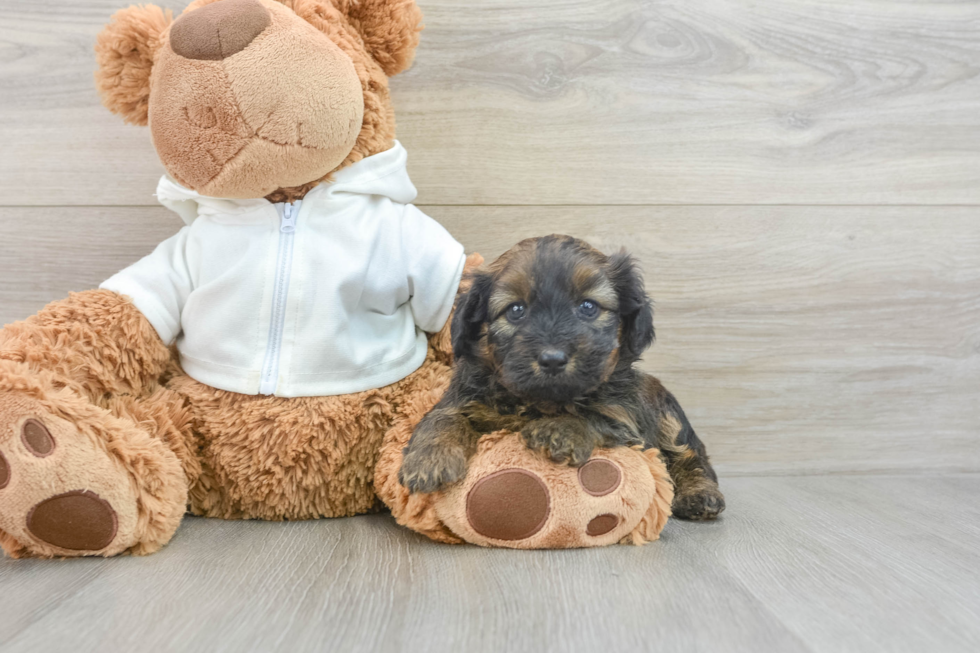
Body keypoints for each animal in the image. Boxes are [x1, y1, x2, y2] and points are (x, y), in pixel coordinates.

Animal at [398, 234, 728, 520]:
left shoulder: (626, 418)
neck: (540, 402)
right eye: (516, 310)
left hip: (667, 416)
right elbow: (443, 418)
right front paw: (430, 459)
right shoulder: (463, 396)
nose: (553, 359)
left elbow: (595, 416)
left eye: (588, 306)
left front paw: (561, 429)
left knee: (691, 454)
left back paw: (700, 494)